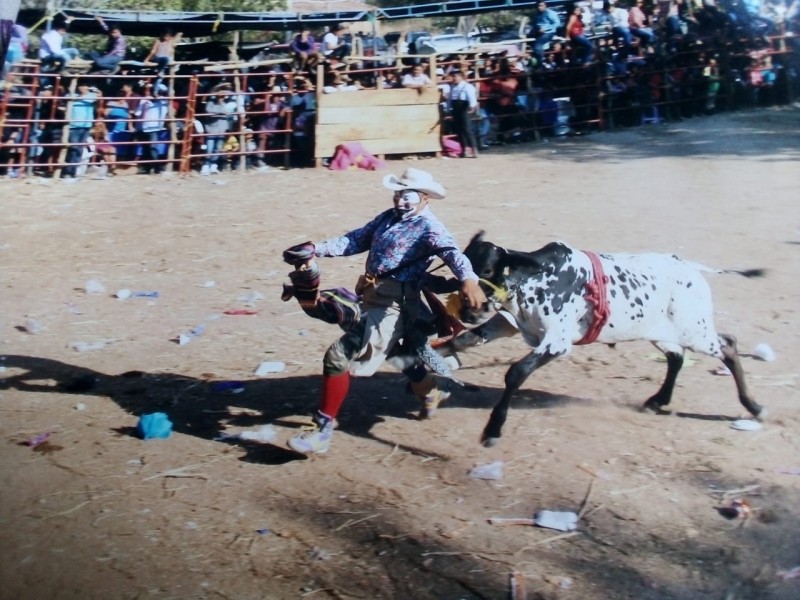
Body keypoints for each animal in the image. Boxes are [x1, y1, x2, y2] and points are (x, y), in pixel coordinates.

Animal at [456, 232, 764, 448]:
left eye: (486, 270)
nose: (469, 311)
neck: (538, 276)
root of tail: (689, 267)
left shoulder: (558, 342)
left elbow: (516, 372)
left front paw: (493, 429)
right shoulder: (510, 323)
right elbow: (464, 341)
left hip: (696, 332)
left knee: (728, 346)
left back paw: (754, 406)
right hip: (662, 332)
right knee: (677, 357)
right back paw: (657, 401)